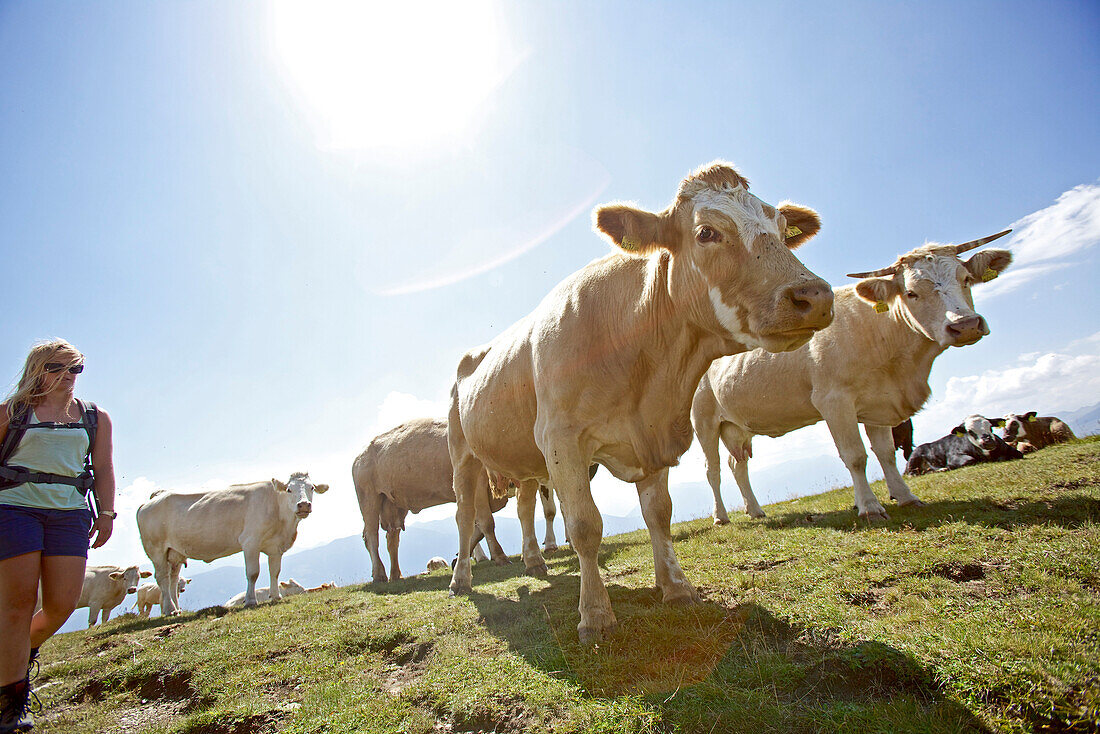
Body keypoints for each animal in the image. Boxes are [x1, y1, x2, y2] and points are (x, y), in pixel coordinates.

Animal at [137, 470, 327, 616]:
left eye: (312, 487)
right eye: (289, 489)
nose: (303, 505)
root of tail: (151, 500)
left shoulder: (275, 547)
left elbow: (275, 572)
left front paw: (276, 596)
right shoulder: (250, 542)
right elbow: (253, 573)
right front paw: (251, 600)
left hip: (174, 552)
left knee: (173, 579)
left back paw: (175, 609)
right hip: (156, 549)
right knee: (162, 577)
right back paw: (169, 610)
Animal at [352, 418, 510, 585]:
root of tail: (360, 456)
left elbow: (477, 529)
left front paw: (460, 559)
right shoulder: (478, 483)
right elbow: (486, 522)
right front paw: (500, 556)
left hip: (393, 504)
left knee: (392, 538)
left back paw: (396, 575)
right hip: (368, 497)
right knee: (371, 536)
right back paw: (379, 574)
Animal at [442, 161, 827, 642]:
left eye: (779, 228)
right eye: (706, 232)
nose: (815, 295)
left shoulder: (655, 433)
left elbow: (659, 513)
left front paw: (677, 587)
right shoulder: (561, 439)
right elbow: (585, 525)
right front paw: (595, 616)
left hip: (523, 456)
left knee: (526, 505)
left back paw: (535, 561)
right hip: (462, 454)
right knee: (464, 516)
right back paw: (461, 580)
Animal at [695, 229, 1012, 521]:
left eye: (966, 279)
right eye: (912, 293)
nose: (966, 325)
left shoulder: (880, 401)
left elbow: (886, 453)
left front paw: (906, 497)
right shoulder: (834, 401)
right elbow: (855, 455)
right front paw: (870, 507)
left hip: (737, 426)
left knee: (738, 465)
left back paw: (755, 510)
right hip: (705, 423)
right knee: (714, 470)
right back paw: (721, 516)